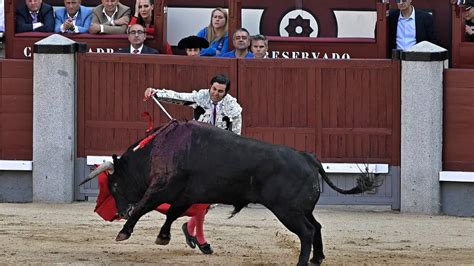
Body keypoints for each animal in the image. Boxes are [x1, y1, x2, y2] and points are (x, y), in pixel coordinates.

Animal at [82, 121, 378, 266]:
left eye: (115, 185)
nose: (121, 212)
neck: (158, 147)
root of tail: (308, 157)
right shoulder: (185, 194)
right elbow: (173, 214)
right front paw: (164, 237)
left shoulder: (162, 187)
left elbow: (146, 205)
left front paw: (124, 232)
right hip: (302, 209)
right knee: (316, 227)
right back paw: (317, 259)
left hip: (287, 211)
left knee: (306, 231)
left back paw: (303, 263)